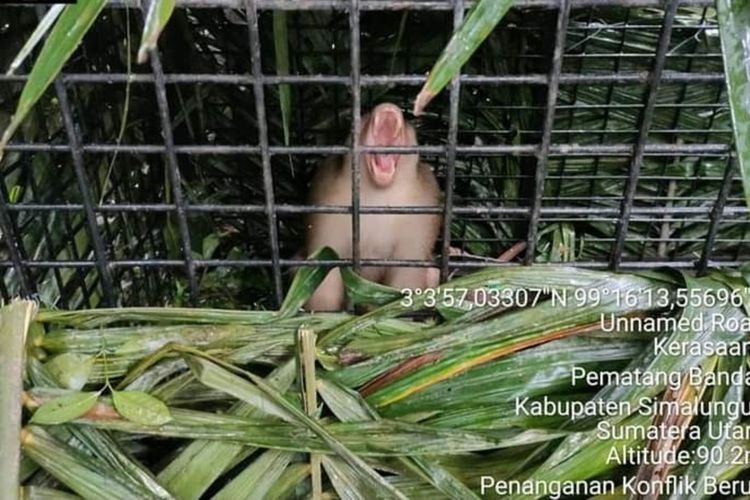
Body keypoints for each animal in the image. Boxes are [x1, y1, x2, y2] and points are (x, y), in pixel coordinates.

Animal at [304, 103, 440, 310]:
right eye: (364, 118)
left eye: (407, 123)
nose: (388, 107)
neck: (380, 198)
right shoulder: (327, 205)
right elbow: (324, 280)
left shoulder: (424, 209)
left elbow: (406, 277)